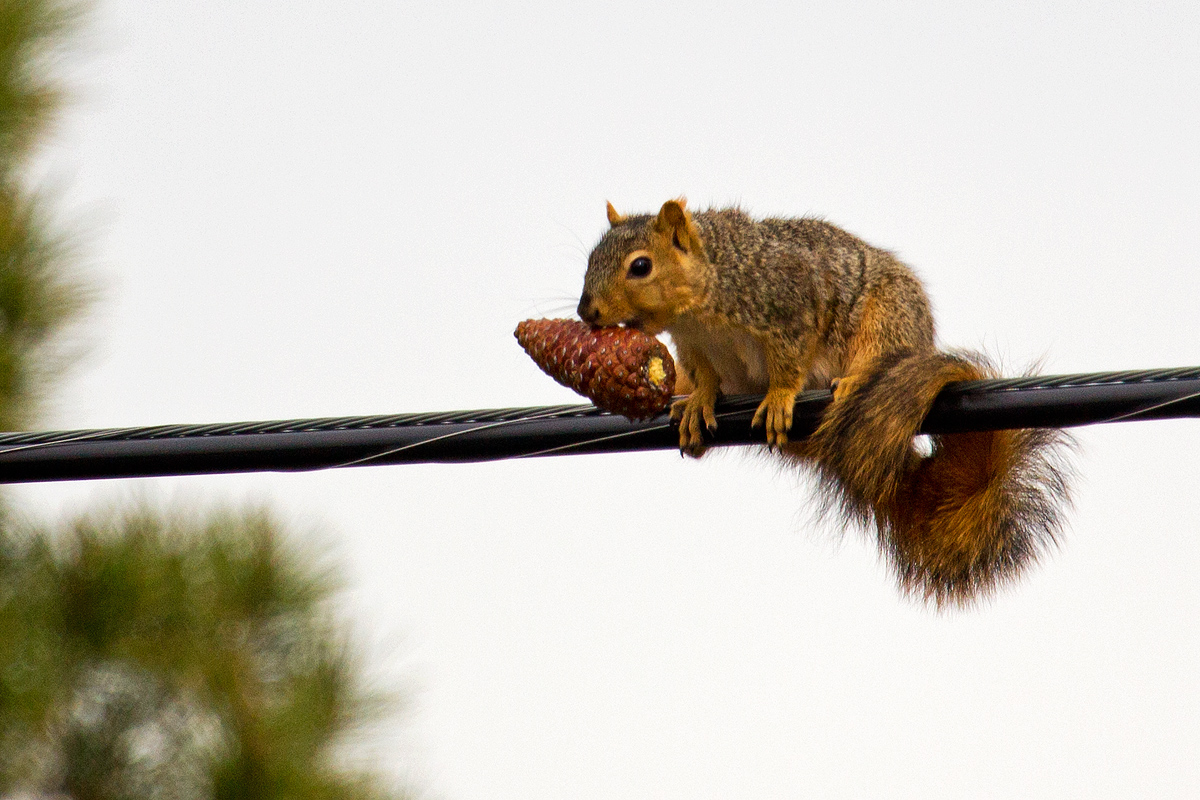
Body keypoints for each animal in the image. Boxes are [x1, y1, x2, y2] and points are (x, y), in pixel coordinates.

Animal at [576, 198, 1072, 606]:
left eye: (640, 266)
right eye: (590, 260)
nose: (587, 312)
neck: (701, 308)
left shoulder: (787, 304)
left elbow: (790, 358)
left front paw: (779, 395)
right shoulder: (694, 349)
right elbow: (705, 380)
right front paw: (698, 402)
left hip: (888, 317)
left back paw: (854, 381)